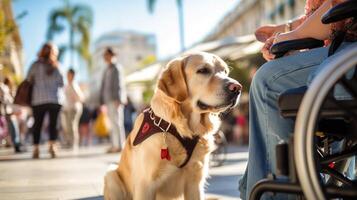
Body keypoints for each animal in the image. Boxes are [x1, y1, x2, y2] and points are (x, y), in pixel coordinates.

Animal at [104, 52, 241, 200]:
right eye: (203, 70)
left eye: (225, 71)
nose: (237, 88)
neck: (181, 128)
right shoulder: (145, 185)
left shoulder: (195, 182)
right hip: (111, 174)